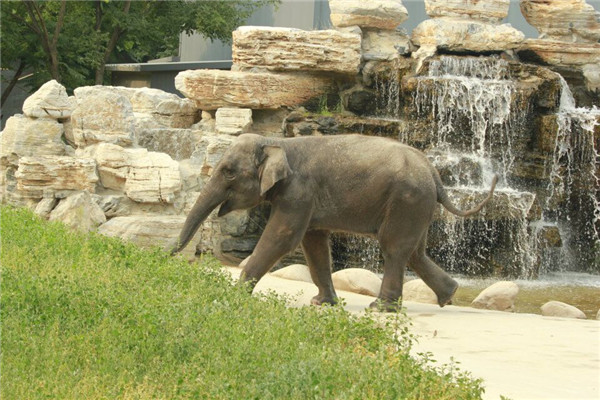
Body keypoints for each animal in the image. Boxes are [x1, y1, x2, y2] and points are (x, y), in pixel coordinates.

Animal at [170, 133, 496, 310]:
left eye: (228, 172)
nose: (168, 255)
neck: (278, 142)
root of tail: (434, 173)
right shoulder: (305, 199)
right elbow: (313, 242)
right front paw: (322, 304)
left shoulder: (298, 192)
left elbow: (283, 236)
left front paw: (234, 293)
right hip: (417, 204)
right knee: (415, 251)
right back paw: (448, 296)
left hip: (407, 200)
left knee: (394, 248)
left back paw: (380, 309)